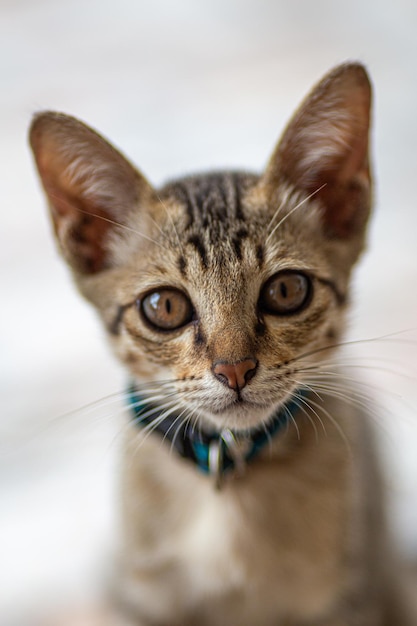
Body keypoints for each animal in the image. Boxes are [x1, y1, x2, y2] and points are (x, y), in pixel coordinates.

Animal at [28, 63, 412, 624]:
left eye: (286, 291)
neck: (226, 482)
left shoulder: (352, 599)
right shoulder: (140, 597)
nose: (235, 370)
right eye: (164, 306)